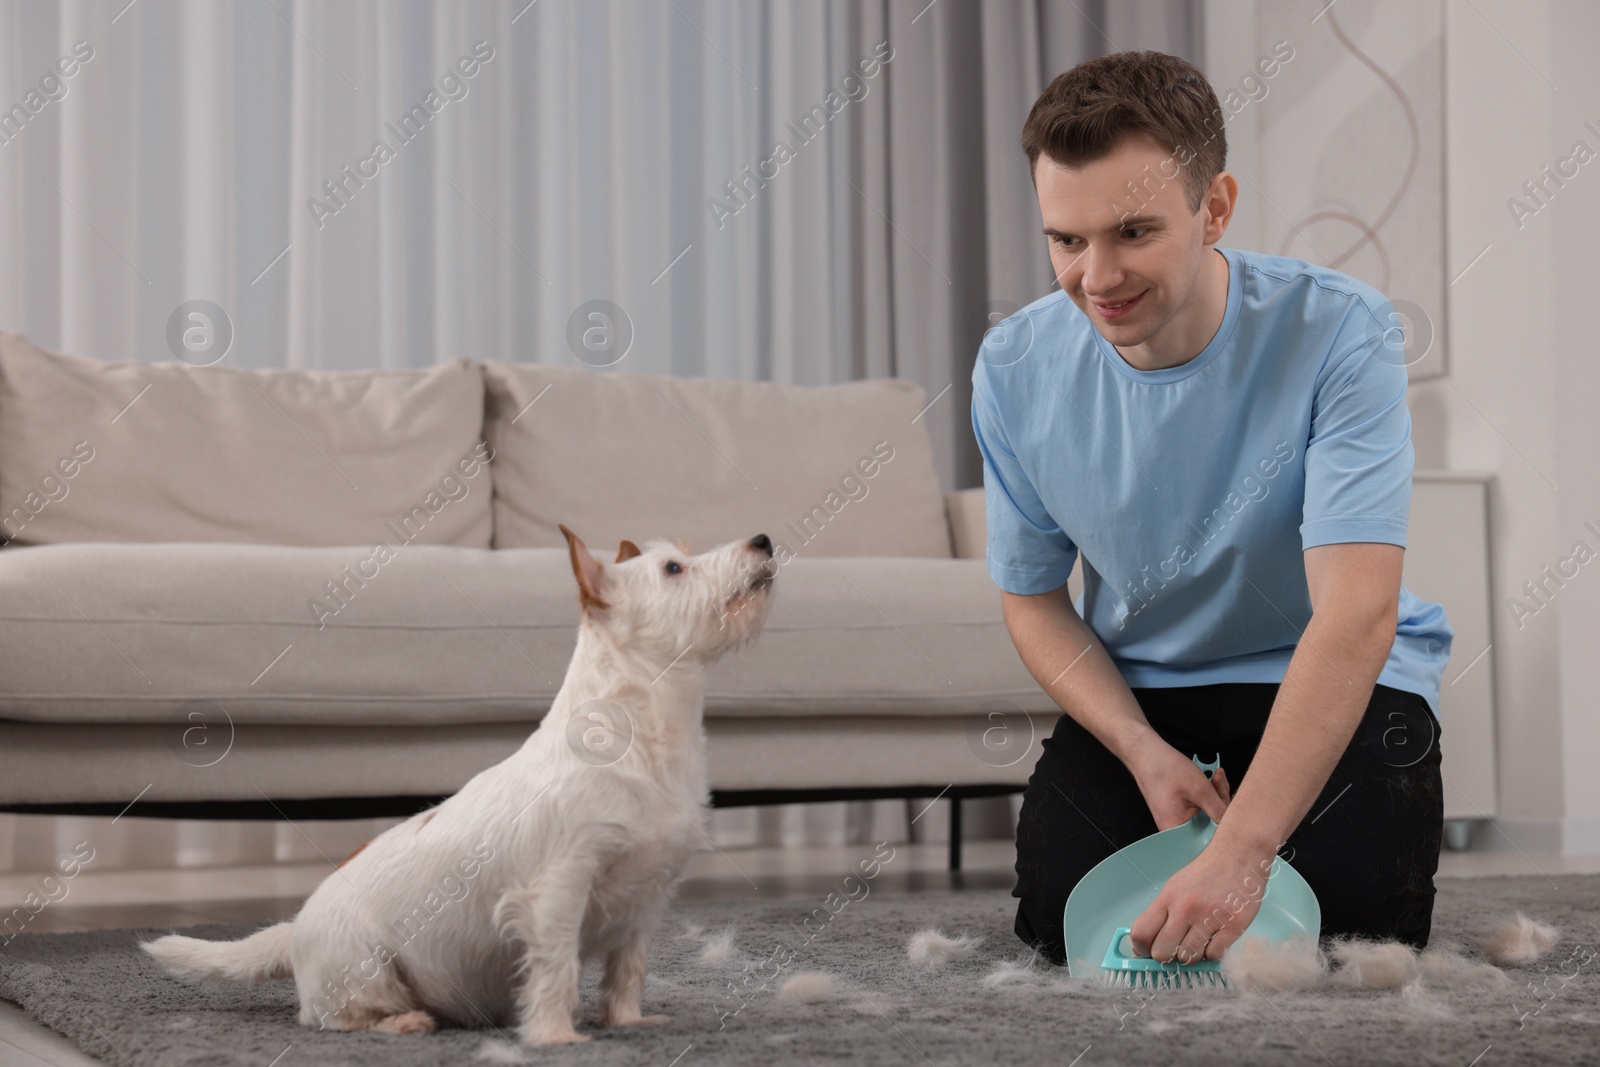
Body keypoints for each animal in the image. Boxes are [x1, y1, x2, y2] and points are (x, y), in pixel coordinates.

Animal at [140, 524, 777, 1043]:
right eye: (673, 569)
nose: (764, 540)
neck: (647, 732)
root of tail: (294, 930)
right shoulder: (556, 892)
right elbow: (557, 969)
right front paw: (555, 1037)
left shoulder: (646, 901)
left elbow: (628, 972)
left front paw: (629, 1023)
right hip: (367, 970)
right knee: (333, 1018)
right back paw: (405, 1022)